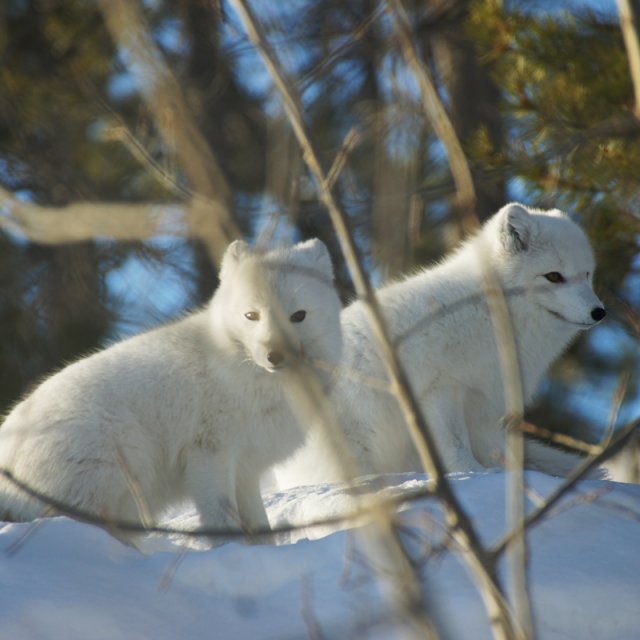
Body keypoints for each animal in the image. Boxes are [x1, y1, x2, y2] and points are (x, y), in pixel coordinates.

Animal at [0, 240, 342, 540]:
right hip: (122, 469)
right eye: (251, 316)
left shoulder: (246, 469)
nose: (275, 356)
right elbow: (222, 520)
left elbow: (259, 526)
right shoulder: (208, 454)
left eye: (299, 316)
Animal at [276, 202, 604, 488]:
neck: (490, 311)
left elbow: (499, 452)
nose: (599, 312)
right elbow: (456, 446)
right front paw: (472, 475)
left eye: (587, 274)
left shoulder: (487, 402)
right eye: (553, 276)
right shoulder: (441, 390)